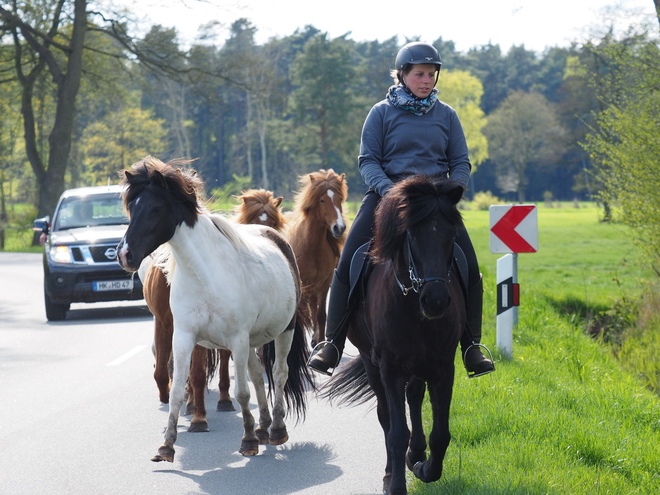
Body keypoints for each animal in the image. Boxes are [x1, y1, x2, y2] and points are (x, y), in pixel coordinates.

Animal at [118, 157, 314, 464]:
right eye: (131, 207)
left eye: (155, 208)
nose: (124, 255)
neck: (205, 274)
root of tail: (277, 238)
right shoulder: (184, 337)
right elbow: (177, 390)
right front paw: (166, 446)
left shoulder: (237, 340)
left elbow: (242, 392)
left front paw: (247, 442)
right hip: (251, 340)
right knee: (257, 375)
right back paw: (262, 427)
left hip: (285, 331)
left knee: (279, 373)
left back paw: (276, 430)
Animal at [288, 170, 350, 348]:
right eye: (322, 200)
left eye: (340, 199)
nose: (339, 228)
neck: (311, 247)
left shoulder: (324, 284)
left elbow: (321, 315)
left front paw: (321, 343)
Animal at [322, 175, 466, 495]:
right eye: (411, 235)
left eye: (452, 235)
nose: (436, 301)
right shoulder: (390, 367)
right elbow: (396, 430)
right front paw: (396, 483)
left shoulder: (443, 366)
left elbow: (441, 433)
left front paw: (425, 467)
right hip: (372, 363)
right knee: (386, 415)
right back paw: (394, 468)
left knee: (413, 397)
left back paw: (417, 454)